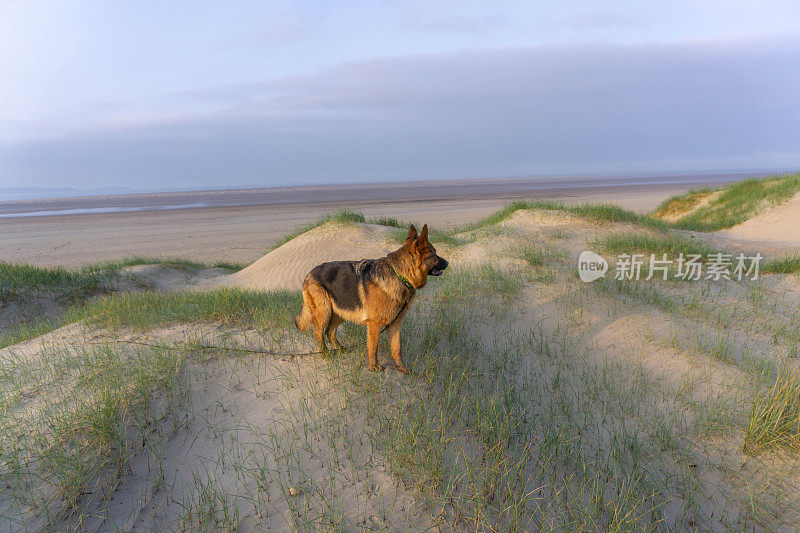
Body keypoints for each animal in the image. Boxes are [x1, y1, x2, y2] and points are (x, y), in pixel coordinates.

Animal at [294, 222, 446, 372]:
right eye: (434, 254)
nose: (447, 263)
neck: (399, 275)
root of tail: (309, 273)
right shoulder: (374, 324)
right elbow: (373, 347)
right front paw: (374, 367)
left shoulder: (394, 325)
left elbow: (397, 349)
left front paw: (402, 369)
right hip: (324, 313)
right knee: (318, 332)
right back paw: (325, 353)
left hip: (340, 312)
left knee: (329, 331)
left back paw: (340, 349)